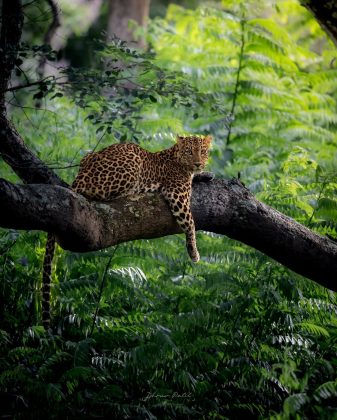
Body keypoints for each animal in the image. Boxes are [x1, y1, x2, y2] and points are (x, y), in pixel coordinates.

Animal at [41, 135, 210, 328]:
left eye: (203, 151)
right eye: (189, 152)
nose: (198, 163)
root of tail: (80, 177)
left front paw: (206, 174)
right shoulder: (177, 195)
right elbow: (190, 223)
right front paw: (194, 253)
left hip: (88, 157)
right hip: (130, 162)